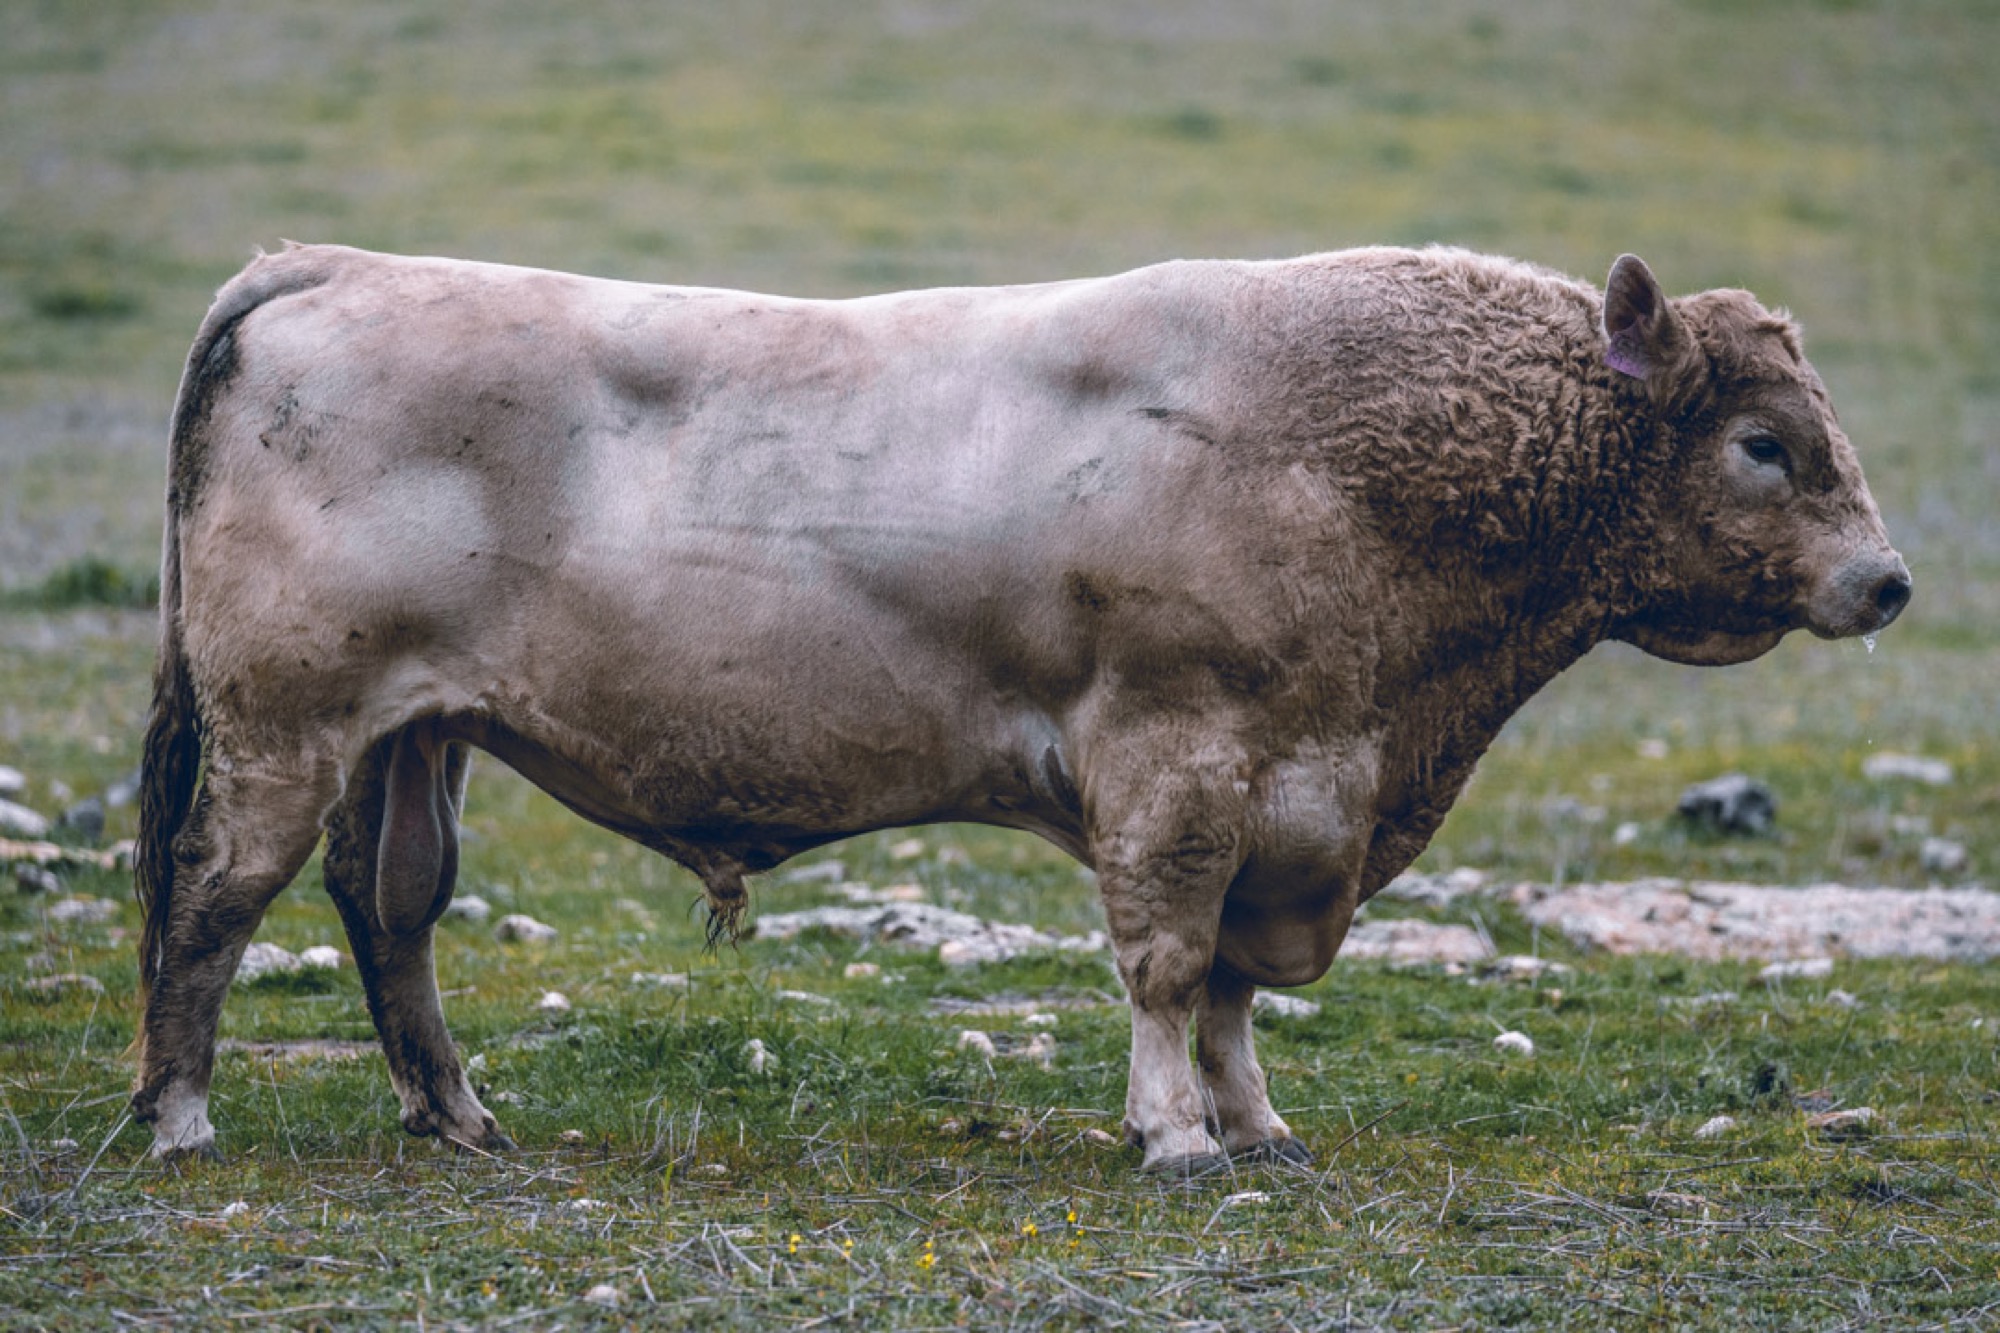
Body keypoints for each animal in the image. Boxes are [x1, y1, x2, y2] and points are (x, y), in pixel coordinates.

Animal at [130, 243, 1908, 1171]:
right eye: (1765, 442)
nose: (1887, 581)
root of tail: (337, 267)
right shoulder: (1178, 766)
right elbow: (1171, 960)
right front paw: (1174, 1133)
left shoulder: (1291, 796)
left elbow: (1237, 985)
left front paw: (1254, 1122)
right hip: (285, 725)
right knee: (212, 896)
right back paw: (180, 1112)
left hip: (411, 734)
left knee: (391, 906)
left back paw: (452, 1110)